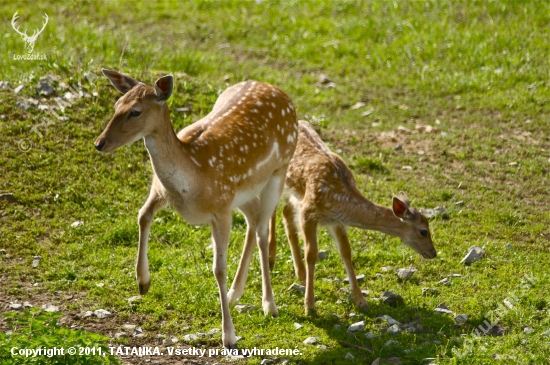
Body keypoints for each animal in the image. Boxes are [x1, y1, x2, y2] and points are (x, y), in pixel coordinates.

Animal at [97, 70, 300, 346]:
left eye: (135, 111)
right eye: (117, 104)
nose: (99, 143)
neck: (194, 174)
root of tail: (281, 92)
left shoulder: (221, 210)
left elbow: (218, 270)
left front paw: (229, 336)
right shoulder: (160, 190)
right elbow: (142, 215)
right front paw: (143, 281)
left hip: (278, 171)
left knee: (262, 230)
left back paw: (269, 304)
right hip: (244, 192)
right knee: (253, 220)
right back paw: (235, 293)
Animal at [227, 121, 436, 314]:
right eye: (423, 231)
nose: (433, 253)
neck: (339, 196)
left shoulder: (335, 221)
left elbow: (346, 252)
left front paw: (361, 301)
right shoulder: (309, 211)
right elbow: (311, 253)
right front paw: (309, 306)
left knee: (285, 212)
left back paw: (300, 273)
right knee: (272, 211)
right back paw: (272, 257)